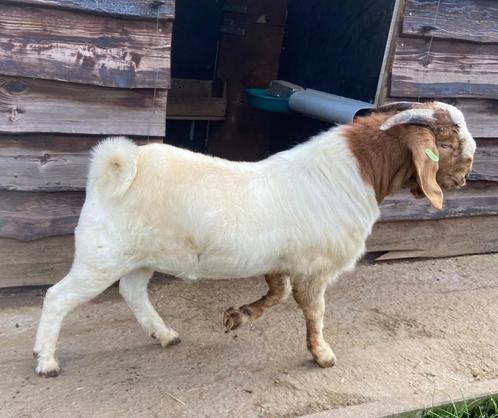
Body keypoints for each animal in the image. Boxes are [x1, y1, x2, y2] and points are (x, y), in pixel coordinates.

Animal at [33, 100, 476, 376]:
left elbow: (278, 293)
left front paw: (239, 316)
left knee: (133, 291)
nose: (467, 173)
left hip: (139, 256)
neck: (356, 173)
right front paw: (323, 356)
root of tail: (116, 167)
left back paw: (165, 335)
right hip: (100, 256)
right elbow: (314, 311)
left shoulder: (281, 261)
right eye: (446, 142)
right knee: (57, 296)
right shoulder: (314, 268)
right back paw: (46, 361)